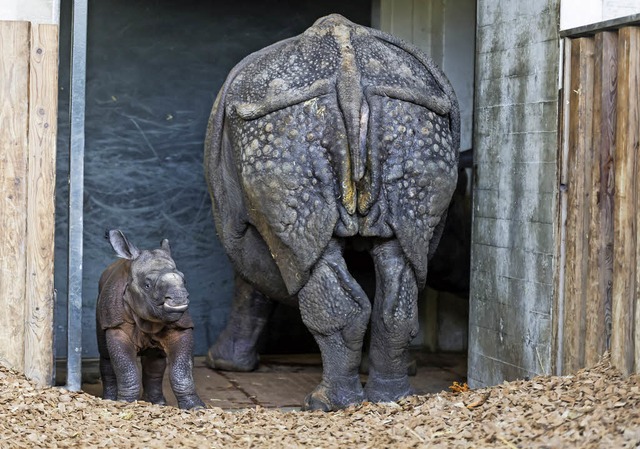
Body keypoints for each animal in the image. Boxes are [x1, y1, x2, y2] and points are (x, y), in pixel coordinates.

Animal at [96, 229, 205, 408]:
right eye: (147, 285)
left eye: (185, 280)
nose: (179, 299)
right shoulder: (116, 325)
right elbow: (126, 368)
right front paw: (125, 403)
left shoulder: (182, 326)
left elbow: (182, 370)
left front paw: (195, 407)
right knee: (105, 354)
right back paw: (109, 399)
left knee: (155, 359)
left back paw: (157, 403)